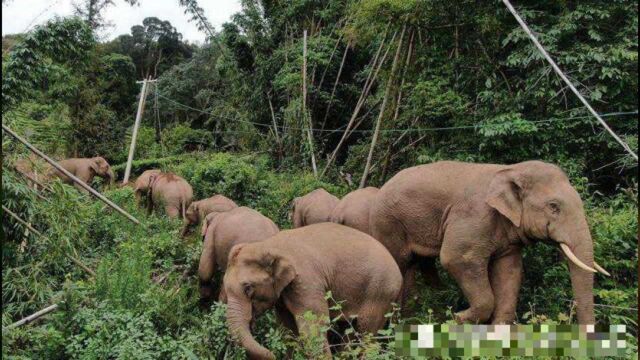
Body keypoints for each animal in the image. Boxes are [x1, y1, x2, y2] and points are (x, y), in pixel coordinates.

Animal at [224, 224, 400, 358]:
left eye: (248, 288)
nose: (272, 355)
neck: (268, 244)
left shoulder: (306, 280)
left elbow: (313, 327)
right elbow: (288, 328)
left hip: (380, 291)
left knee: (366, 331)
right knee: (350, 329)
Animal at [368, 160, 608, 324]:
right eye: (553, 207)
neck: (510, 169)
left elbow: (509, 270)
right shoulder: (474, 216)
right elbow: (456, 258)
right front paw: (457, 318)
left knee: (418, 264)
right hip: (387, 223)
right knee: (399, 263)